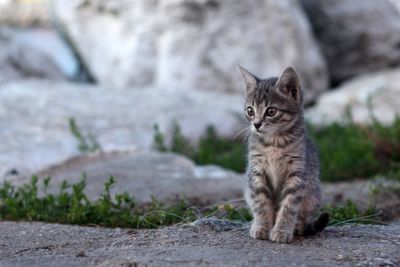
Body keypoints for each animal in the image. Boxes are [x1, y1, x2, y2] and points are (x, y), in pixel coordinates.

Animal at [238, 66, 328, 244]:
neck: (274, 142)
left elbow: (289, 205)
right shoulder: (256, 171)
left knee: (302, 219)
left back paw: (296, 229)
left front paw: (281, 230)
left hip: (312, 193)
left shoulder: (297, 174)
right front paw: (261, 226)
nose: (256, 124)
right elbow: (261, 202)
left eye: (271, 111)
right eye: (250, 111)